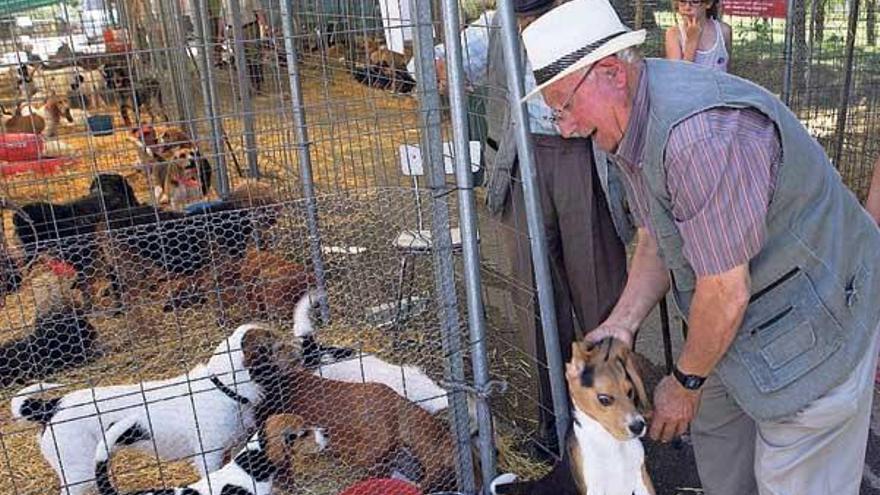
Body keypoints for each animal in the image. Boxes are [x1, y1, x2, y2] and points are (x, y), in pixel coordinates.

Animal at [492, 340, 656, 495]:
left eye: (630, 392)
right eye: (604, 399)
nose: (638, 427)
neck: (613, 444)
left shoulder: (642, 479)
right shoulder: (595, 489)